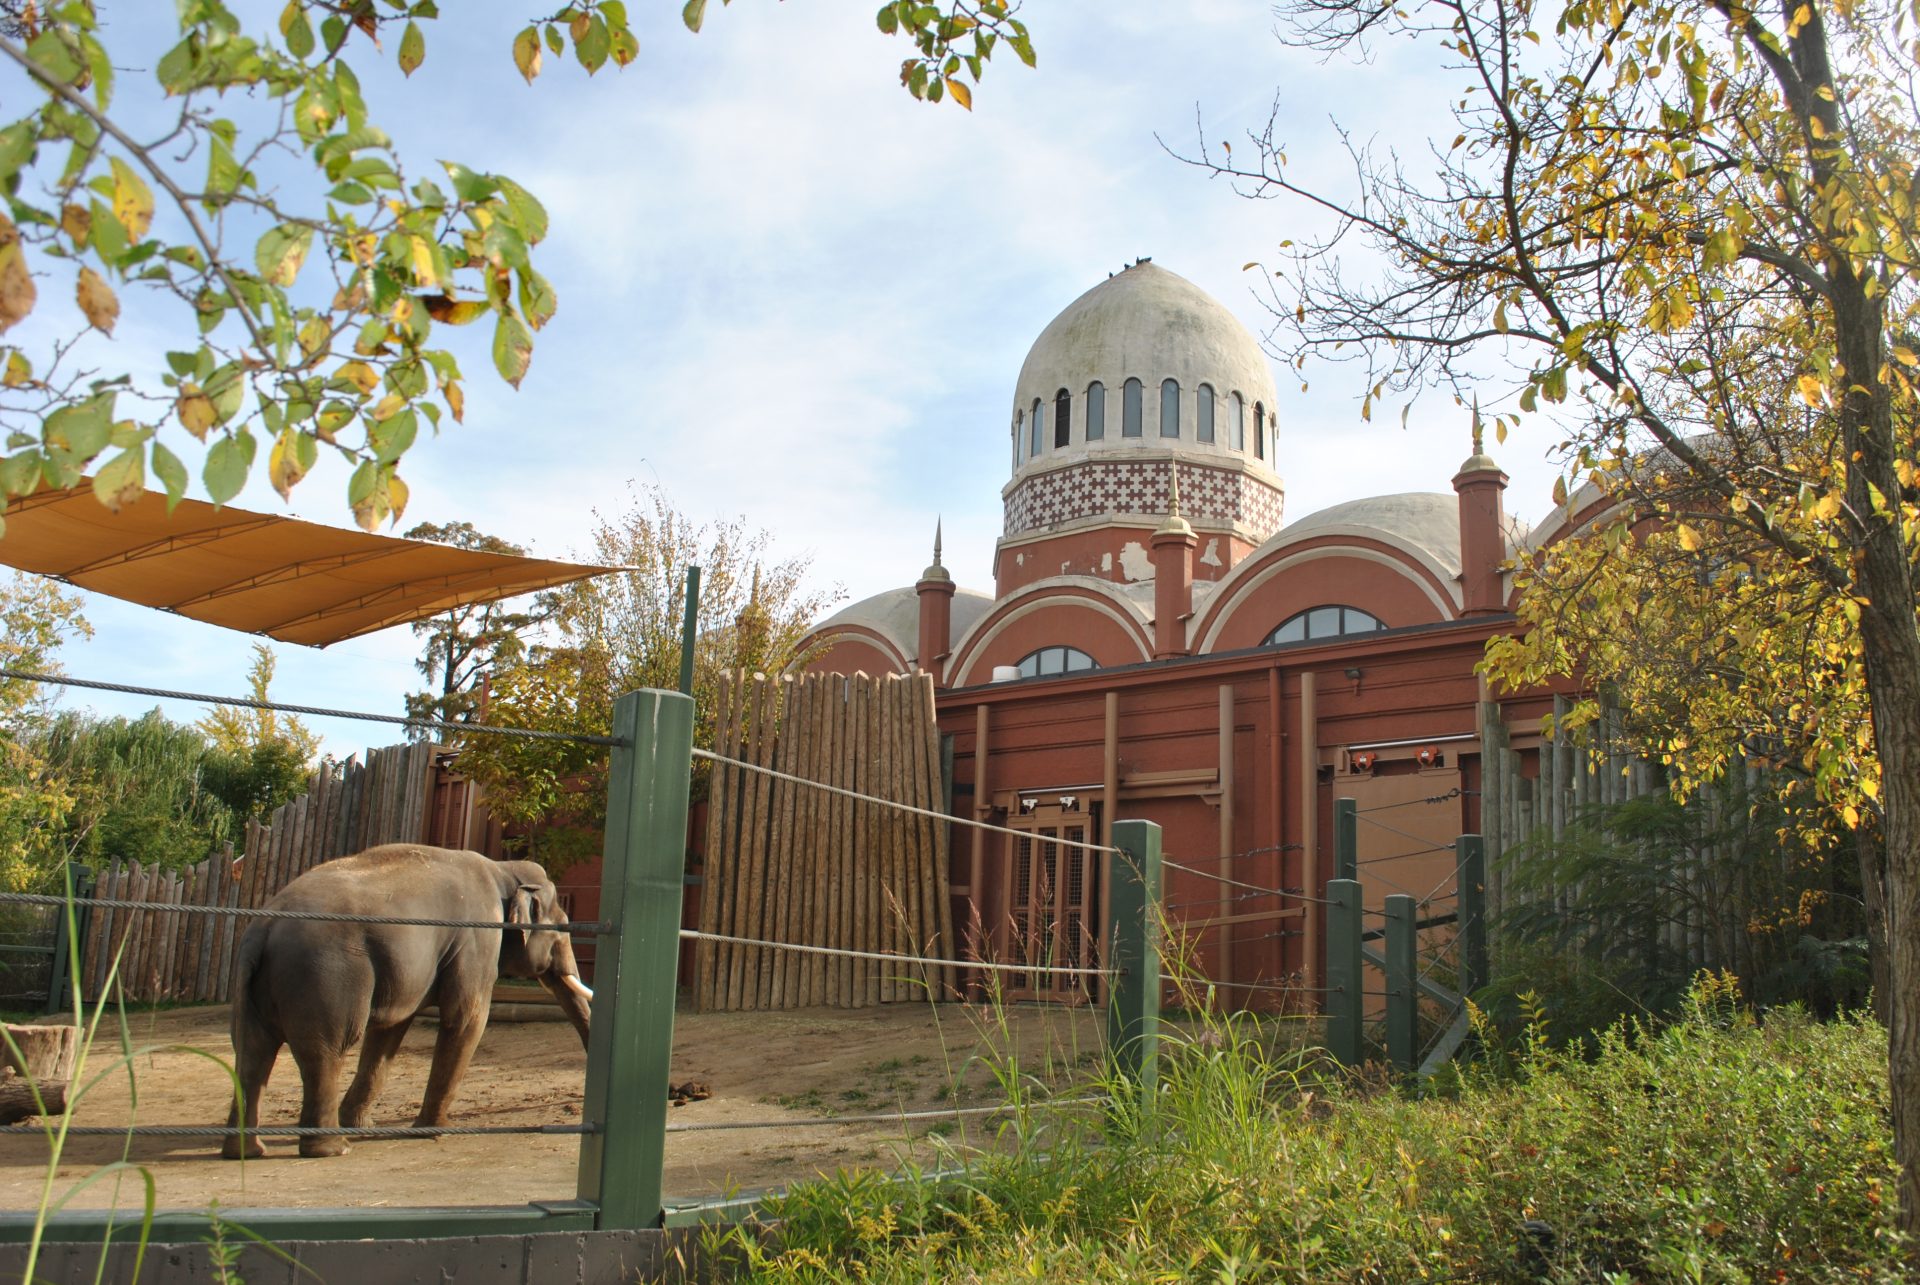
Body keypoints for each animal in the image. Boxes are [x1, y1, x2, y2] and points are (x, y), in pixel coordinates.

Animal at [221, 841, 591, 1152]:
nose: (575, 1103)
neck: (503, 869)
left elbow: (390, 1031)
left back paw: (248, 1151)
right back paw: (334, 1149)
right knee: (325, 1053)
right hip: (324, 978)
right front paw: (437, 1131)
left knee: (252, 1054)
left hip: (255, 988)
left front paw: (363, 1125)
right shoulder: (477, 939)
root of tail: (262, 930)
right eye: (563, 928)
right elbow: (466, 1017)